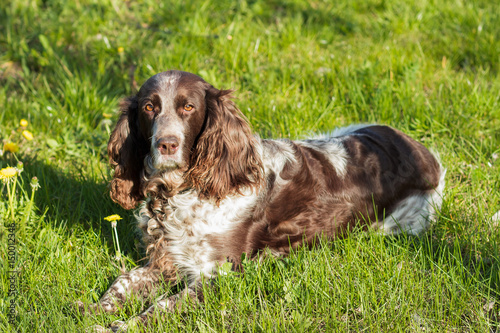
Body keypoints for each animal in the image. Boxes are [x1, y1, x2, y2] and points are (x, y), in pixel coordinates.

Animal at [79, 70, 446, 330]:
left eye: (188, 107)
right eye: (149, 107)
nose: (166, 144)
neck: (181, 194)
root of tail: (423, 152)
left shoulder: (218, 275)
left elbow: (163, 306)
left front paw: (124, 324)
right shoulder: (164, 261)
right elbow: (123, 281)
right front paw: (93, 309)